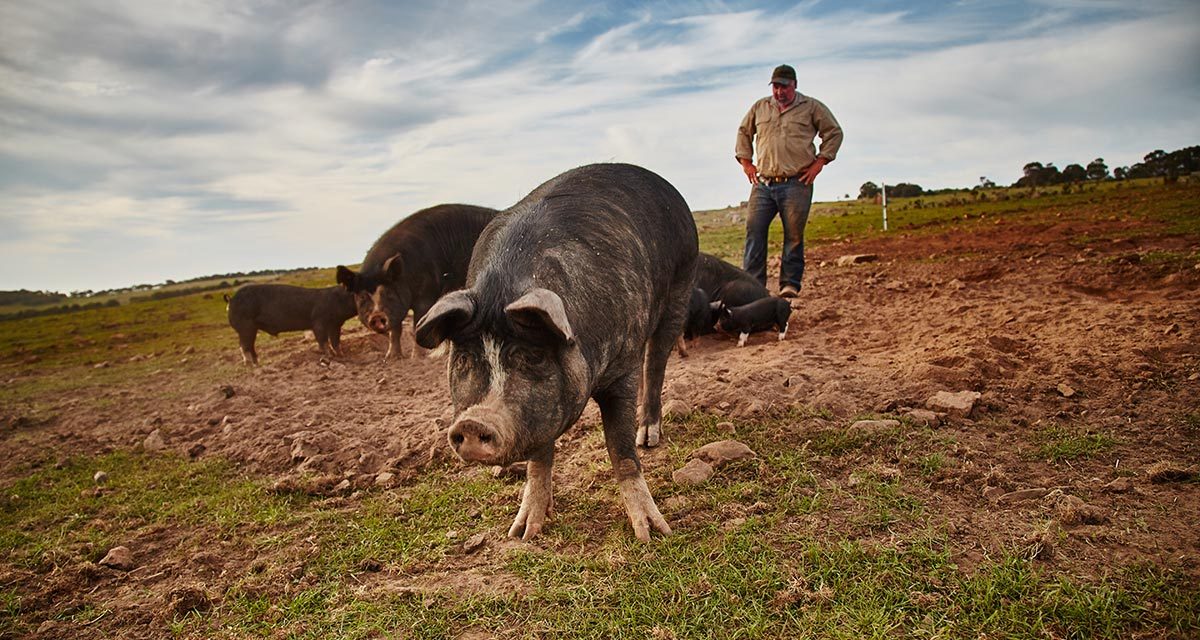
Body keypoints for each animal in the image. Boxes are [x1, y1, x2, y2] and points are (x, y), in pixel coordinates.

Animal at [225, 284, 355, 365]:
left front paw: (342, 355)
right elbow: (323, 342)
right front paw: (330, 357)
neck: (336, 300)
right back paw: (250, 365)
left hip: (251, 328)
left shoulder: (335, 325)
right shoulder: (318, 322)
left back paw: (257, 364)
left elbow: (336, 341)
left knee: (250, 346)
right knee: (244, 346)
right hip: (245, 327)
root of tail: (231, 300)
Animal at [333, 201, 496, 357]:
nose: (377, 316)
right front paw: (391, 357)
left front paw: (417, 356)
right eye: (362, 296)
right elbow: (395, 329)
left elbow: (416, 324)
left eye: (388, 293)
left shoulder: (426, 294)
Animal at [415, 162, 700, 540]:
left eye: (532, 357)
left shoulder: (622, 367)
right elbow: (540, 456)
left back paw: (648, 437)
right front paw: (522, 533)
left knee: (655, 362)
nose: (474, 421)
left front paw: (652, 533)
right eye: (464, 359)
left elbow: (620, 448)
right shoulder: (541, 412)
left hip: (681, 286)